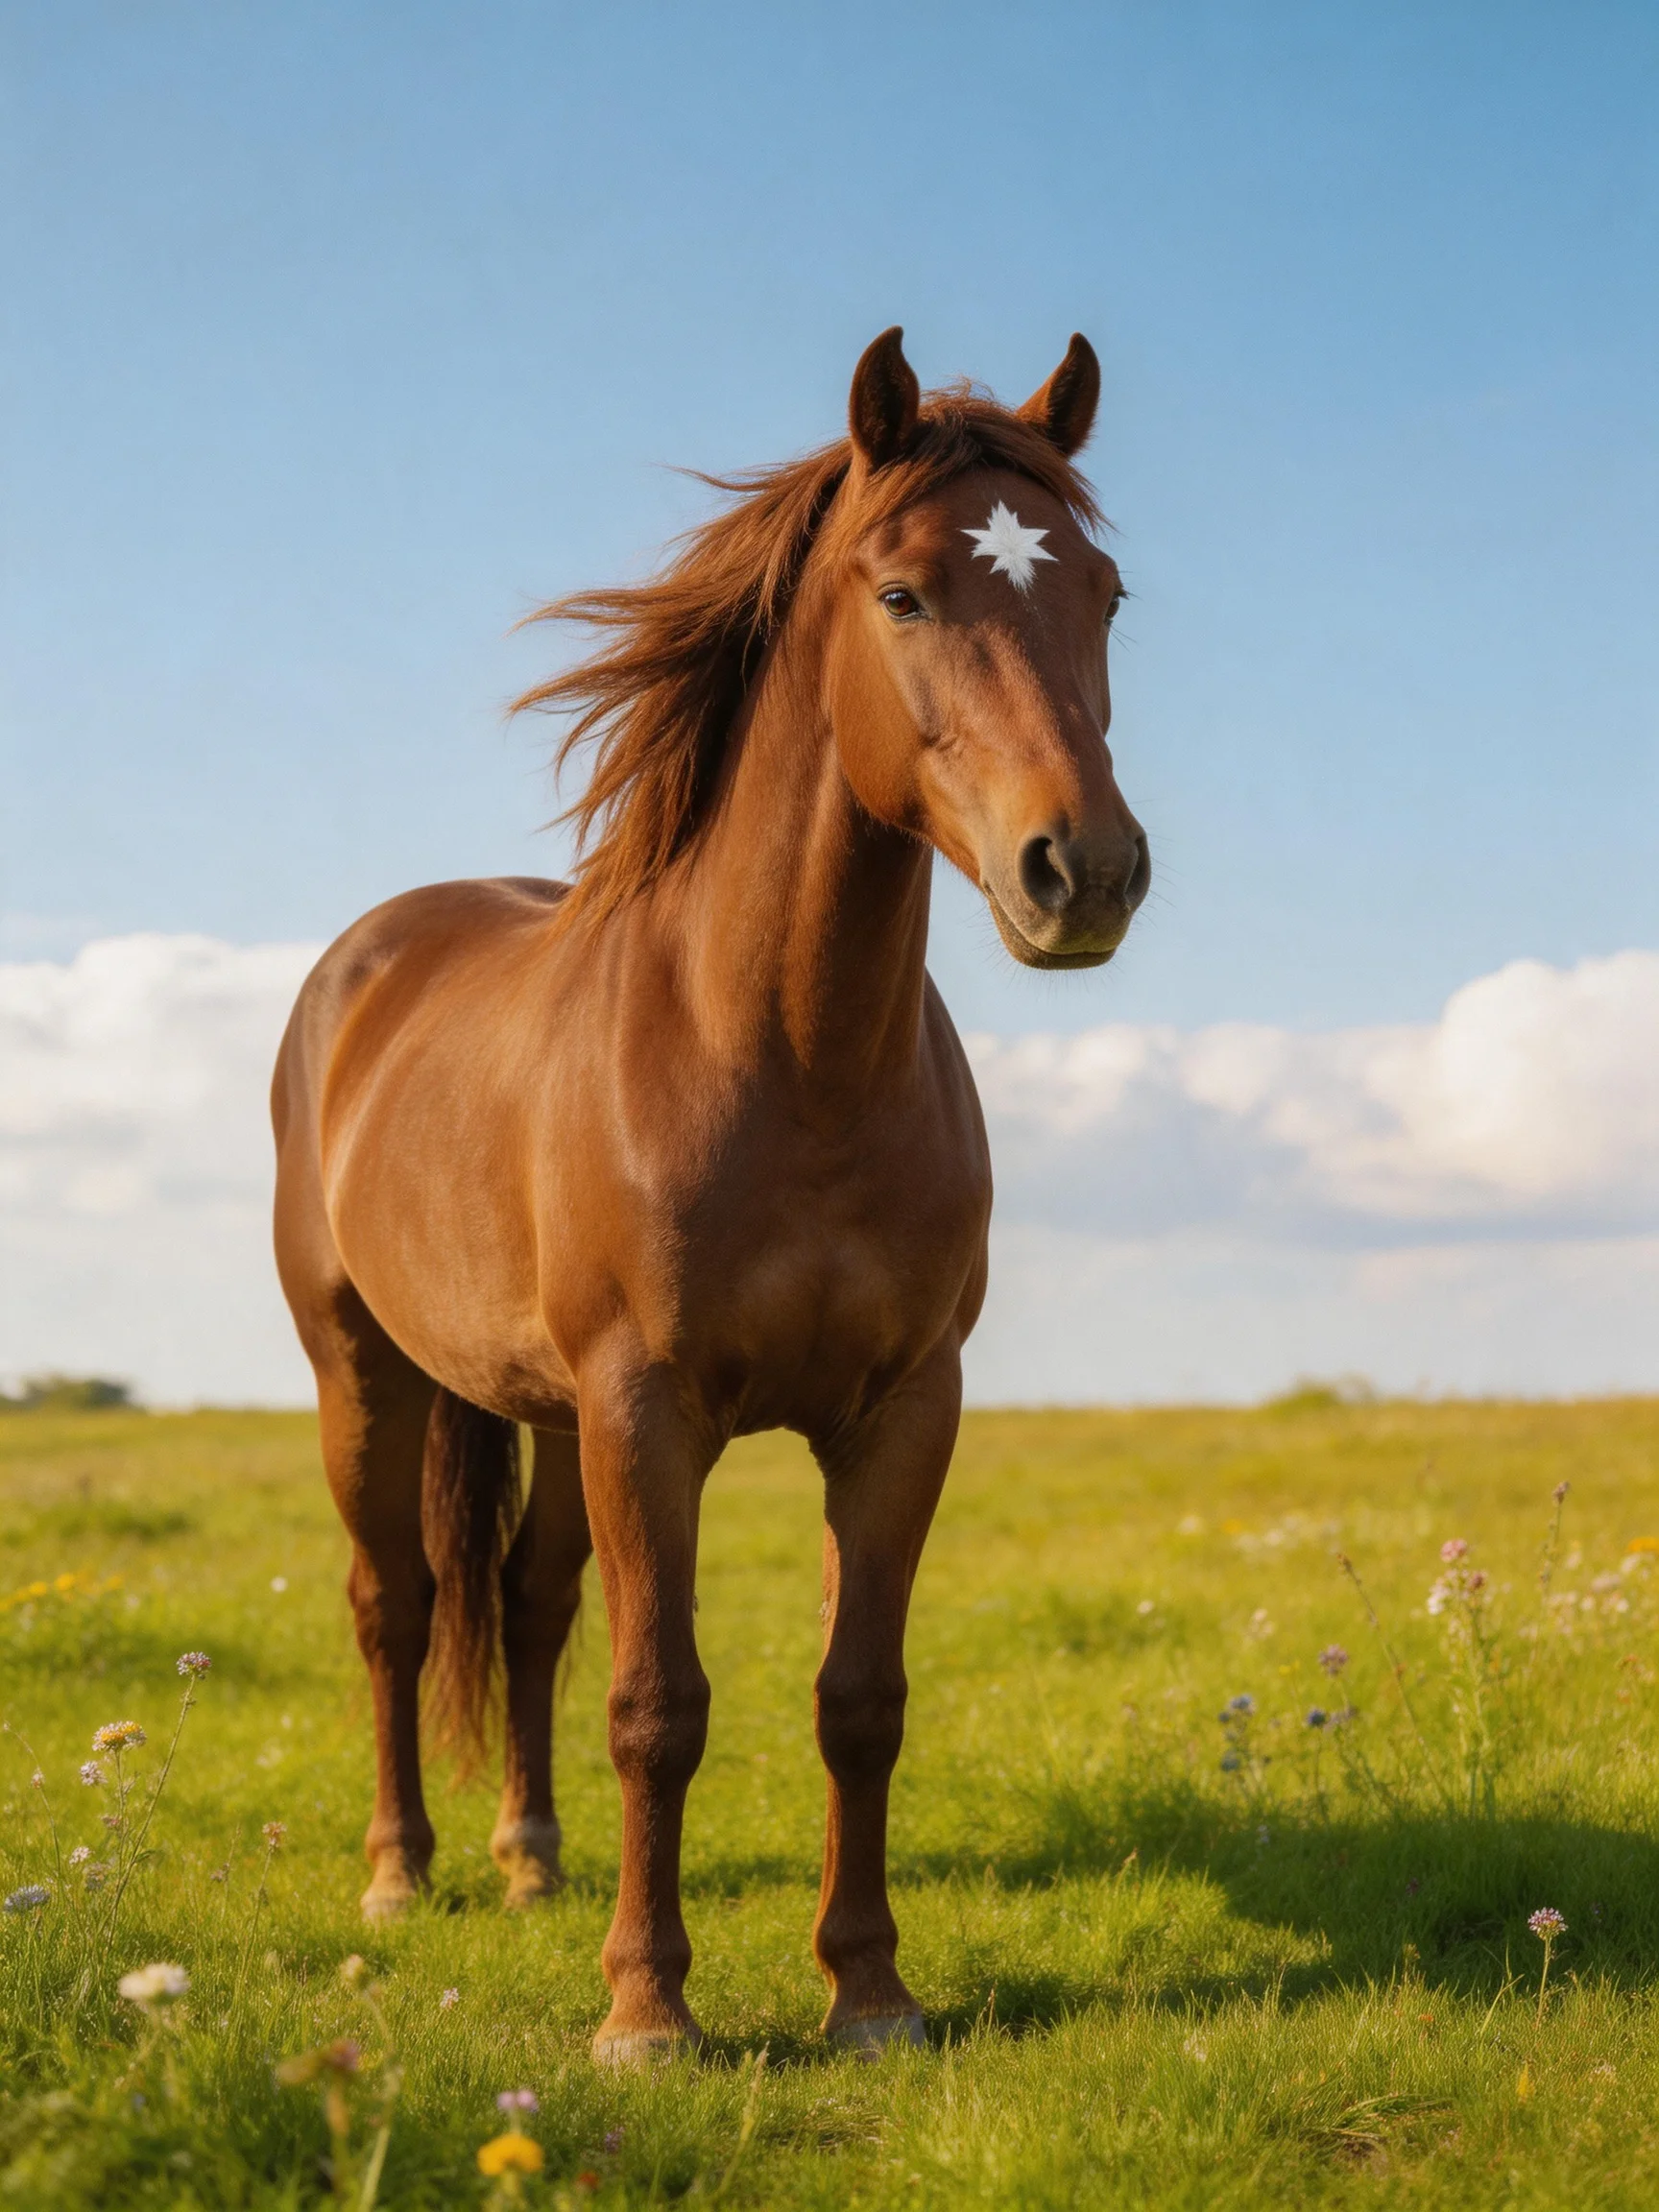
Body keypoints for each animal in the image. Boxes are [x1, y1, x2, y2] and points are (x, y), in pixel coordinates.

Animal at [271, 327, 1149, 2065]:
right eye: (903, 595)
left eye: (1104, 590)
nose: (1081, 872)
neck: (786, 1061)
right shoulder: (646, 1409)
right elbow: (655, 1703)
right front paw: (647, 2009)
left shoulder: (899, 1410)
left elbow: (857, 1698)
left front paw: (869, 1991)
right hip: (365, 1374)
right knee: (396, 1602)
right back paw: (401, 1872)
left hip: (538, 1410)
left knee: (526, 1601)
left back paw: (529, 1856)